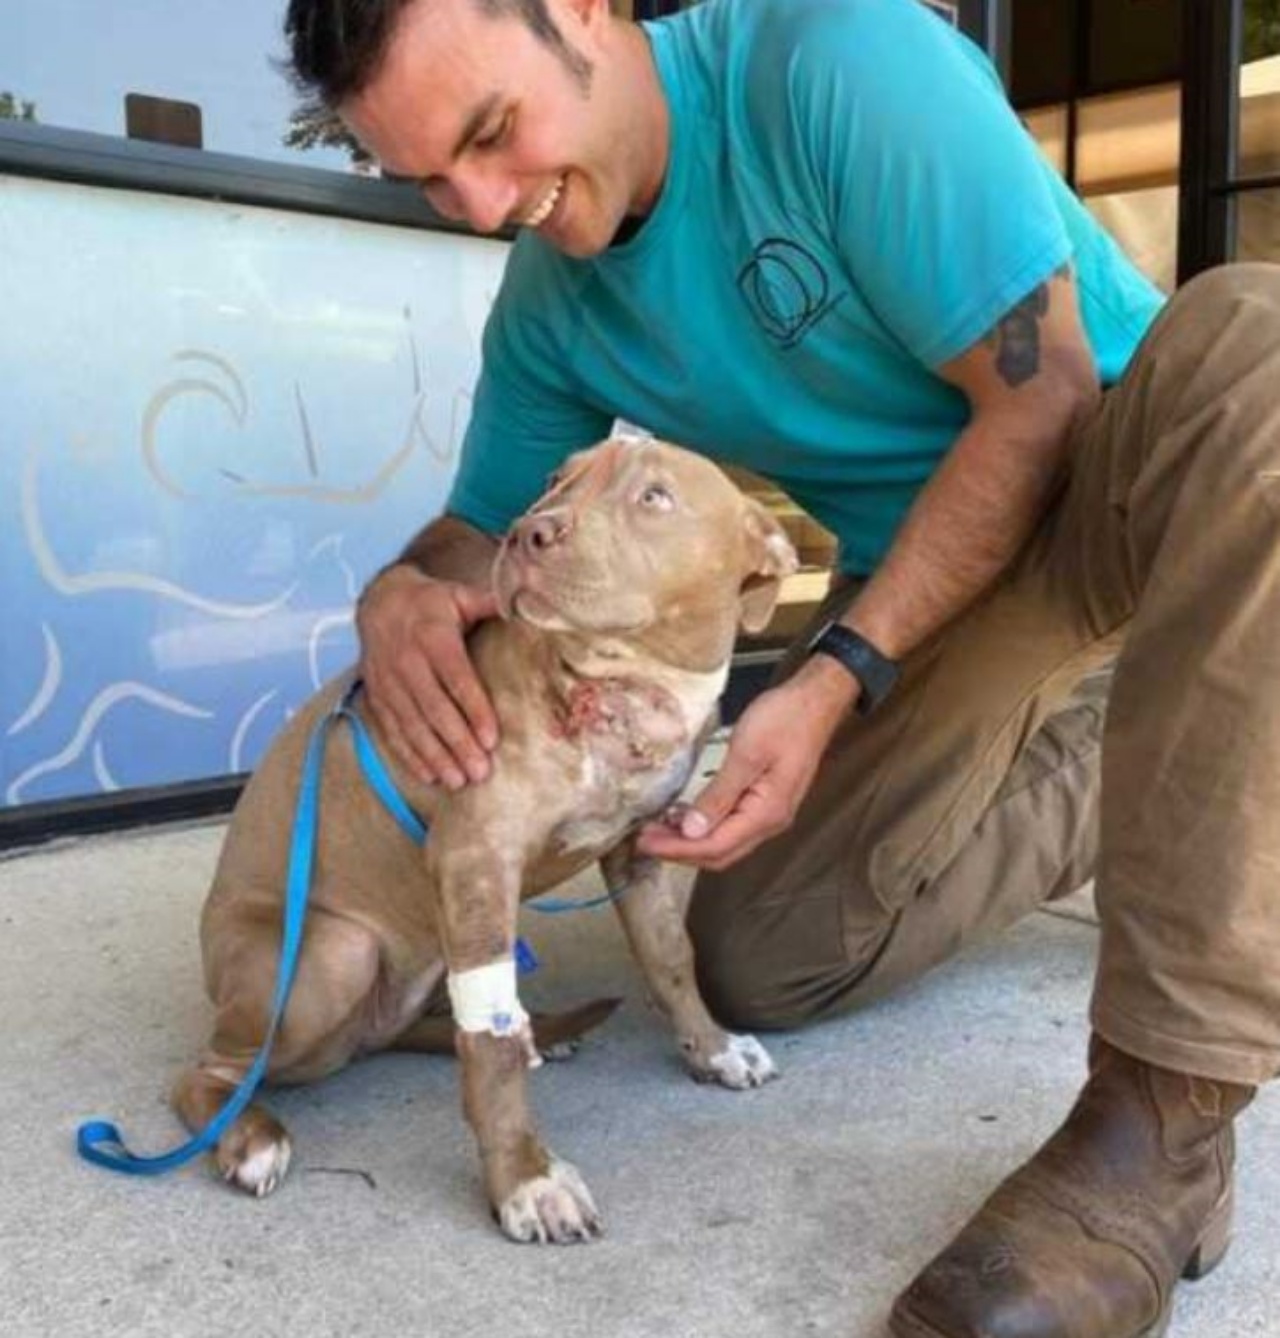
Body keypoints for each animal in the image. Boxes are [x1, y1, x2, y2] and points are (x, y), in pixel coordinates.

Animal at [165, 438, 791, 1241]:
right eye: (556, 478)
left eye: (654, 497)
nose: (528, 532)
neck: (617, 690)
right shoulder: (476, 861)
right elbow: (490, 1045)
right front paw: (526, 1180)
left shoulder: (639, 845)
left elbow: (669, 958)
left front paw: (712, 1050)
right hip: (333, 955)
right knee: (213, 1068)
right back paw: (247, 1136)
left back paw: (544, 1032)